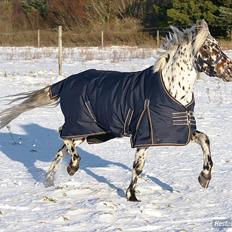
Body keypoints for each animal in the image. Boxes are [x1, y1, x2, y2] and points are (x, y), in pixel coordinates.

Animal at [0, 19, 231, 201]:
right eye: (208, 48)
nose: (229, 70)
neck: (171, 88)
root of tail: (65, 82)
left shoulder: (177, 130)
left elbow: (205, 139)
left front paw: (204, 177)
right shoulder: (144, 134)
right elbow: (138, 166)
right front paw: (132, 196)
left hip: (88, 131)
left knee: (62, 147)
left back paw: (49, 179)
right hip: (81, 126)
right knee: (63, 137)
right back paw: (71, 167)